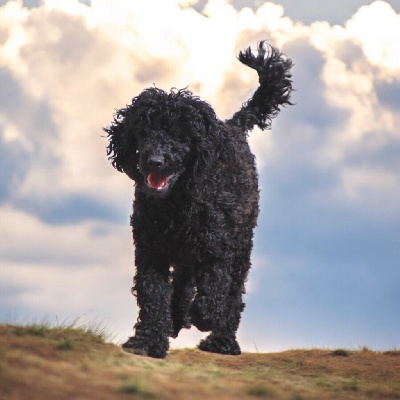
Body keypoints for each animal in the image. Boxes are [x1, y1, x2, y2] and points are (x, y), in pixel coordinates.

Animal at [104, 41, 292, 360]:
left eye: (181, 136)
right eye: (144, 131)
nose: (155, 161)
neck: (176, 204)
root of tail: (234, 125)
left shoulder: (218, 247)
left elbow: (214, 290)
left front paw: (203, 317)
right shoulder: (151, 248)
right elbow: (153, 294)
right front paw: (148, 341)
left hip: (241, 242)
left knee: (232, 293)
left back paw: (221, 341)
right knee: (184, 281)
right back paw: (178, 317)